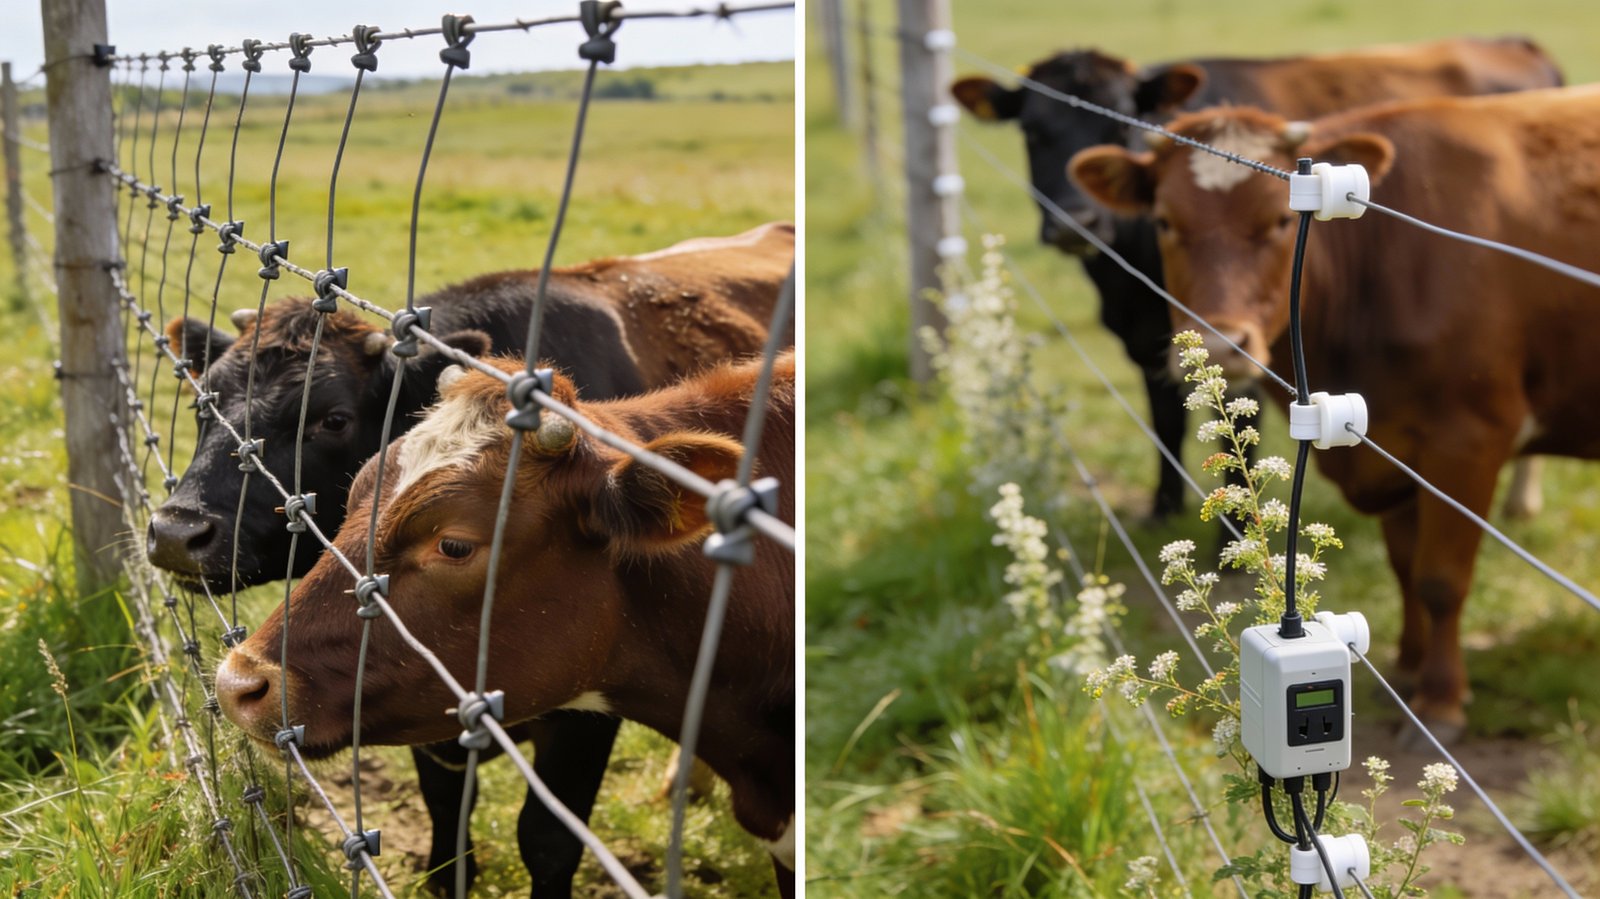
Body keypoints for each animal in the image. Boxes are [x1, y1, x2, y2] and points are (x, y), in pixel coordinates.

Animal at [149, 221, 792, 895]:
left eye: (333, 419)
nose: (175, 530)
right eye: (202, 402)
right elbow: (446, 800)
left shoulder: (587, 713)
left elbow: (547, 838)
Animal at [951, 37, 1561, 522]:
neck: (1125, 277)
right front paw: (1163, 508)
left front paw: (1237, 530)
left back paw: (1523, 500)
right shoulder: (1152, 338)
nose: (1075, 220)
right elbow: (1165, 420)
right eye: (1031, 131)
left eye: (1123, 121)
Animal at [1068, 85, 1600, 741]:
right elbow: (1404, 566)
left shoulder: (1469, 440)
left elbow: (1440, 579)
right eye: (1165, 221)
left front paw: (1440, 700)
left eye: (1278, 220)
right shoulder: (1394, 448)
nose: (1221, 343)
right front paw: (1406, 666)